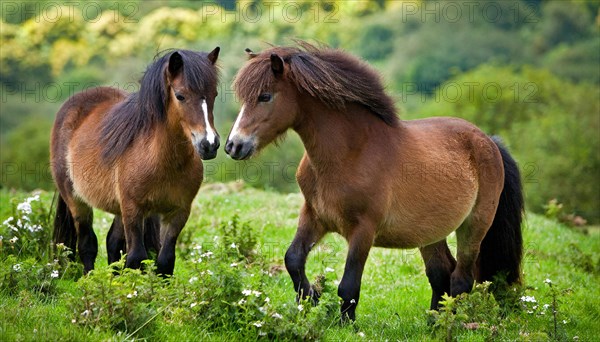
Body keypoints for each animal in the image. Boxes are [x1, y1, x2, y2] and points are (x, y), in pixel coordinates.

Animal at [51, 48, 220, 274]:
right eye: (180, 96)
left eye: (214, 94)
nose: (209, 144)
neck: (162, 161)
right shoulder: (133, 209)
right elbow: (136, 257)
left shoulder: (178, 212)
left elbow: (165, 261)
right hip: (76, 201)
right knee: (87, 244)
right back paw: (89, 278)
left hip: (118, 209)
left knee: (112, 243)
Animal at [227, 42, 524, 320]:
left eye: (265, 96)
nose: (233, 146)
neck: (350, 153)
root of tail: (488, 141)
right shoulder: (315, 216)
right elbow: (293, 259)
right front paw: (311, 297)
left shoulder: (363, 230)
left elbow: (348, 285)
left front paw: (345, 325)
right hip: (430, 232)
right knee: (442, 273)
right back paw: (433, 323)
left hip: (474, 225)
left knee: (461, 278)